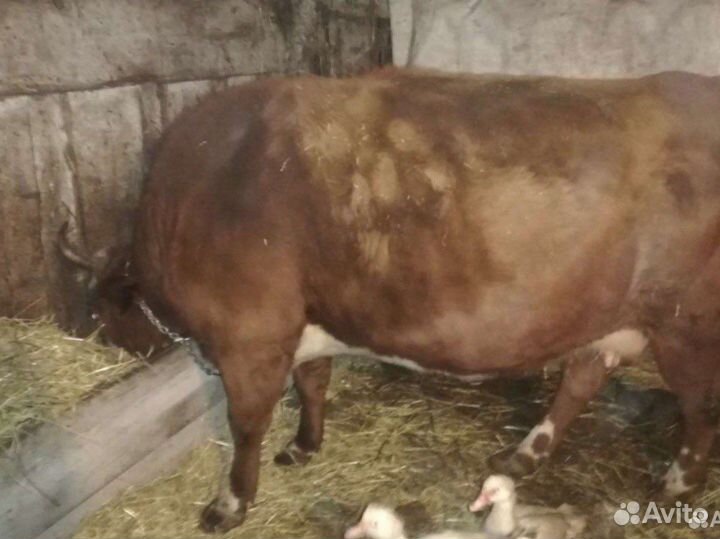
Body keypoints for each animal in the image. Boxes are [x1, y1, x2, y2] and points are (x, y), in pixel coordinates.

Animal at [59, 68, 720, 533]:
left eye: (102, 308)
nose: (105, 341)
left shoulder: (251, 335)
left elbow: (245, 425)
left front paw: (230, 504)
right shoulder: (305, 324)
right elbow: (314, 383)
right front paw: (303, 446)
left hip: (688, 326)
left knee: (699, 407)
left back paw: (677, 482)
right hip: (611, 312)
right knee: (582, 377)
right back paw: (524, 455)